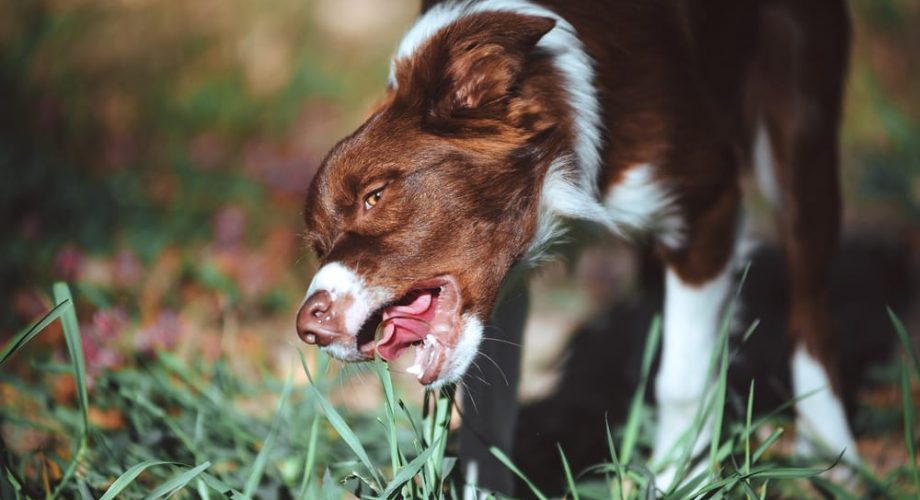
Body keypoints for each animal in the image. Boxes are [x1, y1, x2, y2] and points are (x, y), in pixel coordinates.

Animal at [296, 0, 856, 492]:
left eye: (374, 196)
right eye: (319, 246)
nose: (308, 328)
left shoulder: (708, 206)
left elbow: (682, 379)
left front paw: (682, 479)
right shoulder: (508, 283)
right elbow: (487, 416)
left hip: (800, 125)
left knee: (810, 303)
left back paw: (830, 446)